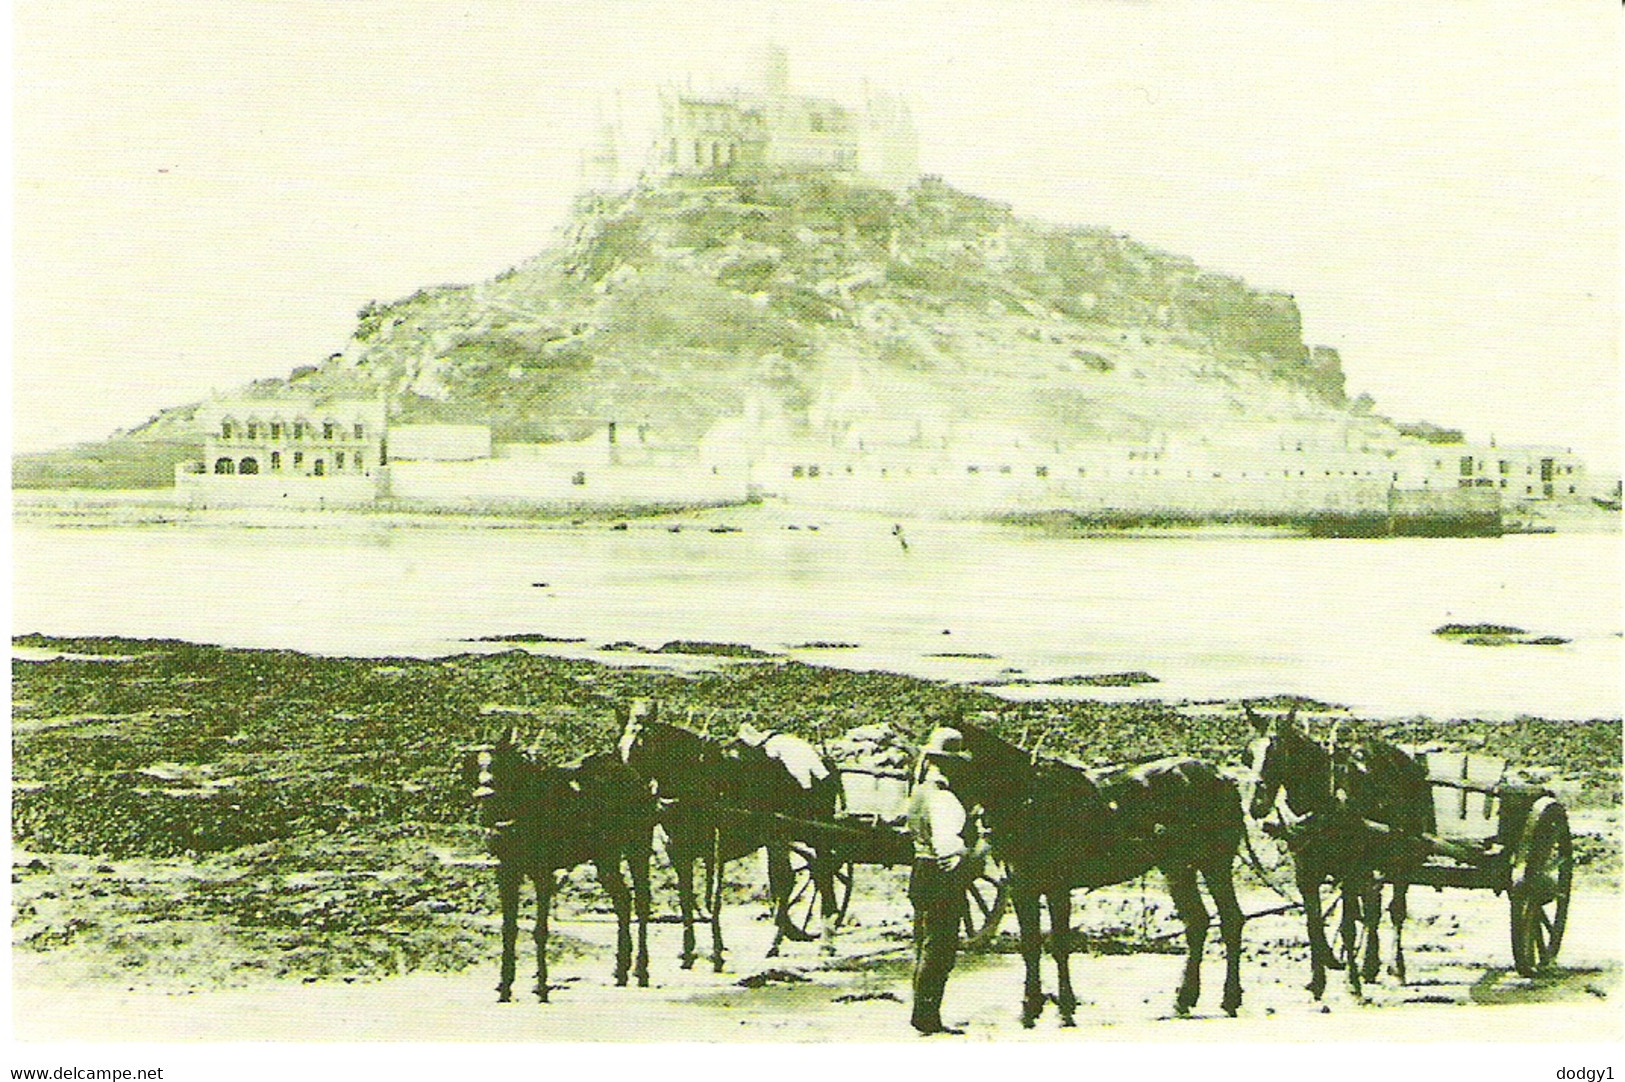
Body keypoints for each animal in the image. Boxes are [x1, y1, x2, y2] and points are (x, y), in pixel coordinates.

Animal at [464, 727, 653, 1000]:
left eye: (502, 764)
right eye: (477, 766)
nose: (483, 794)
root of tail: (631, 774)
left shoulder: (543, 874)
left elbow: (540, 930)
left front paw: (541, 986)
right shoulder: (507, 871)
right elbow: (509, 929)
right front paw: (505, 986)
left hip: (637, 849)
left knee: (641, 903)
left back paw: (641, 970)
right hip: (605, 857)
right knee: (622, 900)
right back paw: (621, 970)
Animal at [614, 698, 845, 968]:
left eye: (642, 744)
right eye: (620, 747)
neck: (693, 776)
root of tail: (820, 759)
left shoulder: (715, 850)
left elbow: (713, 900)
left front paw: (717, 953)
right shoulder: (678, 851)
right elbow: (686, 899)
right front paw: (688, 952)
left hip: (817, 832)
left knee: (822, 873)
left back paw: (826, 940)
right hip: (777, 837)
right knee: (787, 880)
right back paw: (775, 944)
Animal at [949, 721, 1241, 1026]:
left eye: (951, 759)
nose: (966, 832)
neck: (1029, 794)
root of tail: (1221, 777)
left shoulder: (1057, 887)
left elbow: (1059, 943)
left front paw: (1065, 1008)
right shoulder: (1022, 887)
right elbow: (1030, 945)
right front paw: (1030, 1008)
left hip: (1209, 864)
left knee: (1224, 921)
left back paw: (1223, 999)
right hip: (1185, 867)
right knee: (1204, 921)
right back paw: (1188, 999)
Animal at [1248, 705, 1430, 1000]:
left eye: (1276, 753)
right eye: (1248, 754)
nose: (1256, 805)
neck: (1325, 800)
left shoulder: (1350, 872)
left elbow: (1347, 927)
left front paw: (1351, 982)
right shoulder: (1306, 874)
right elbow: (1314, 925)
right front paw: (1318, 980)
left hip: (1400, 858)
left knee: (1396, 911)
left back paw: (1396, 967)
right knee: (1372, 908)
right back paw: (1370, 965)